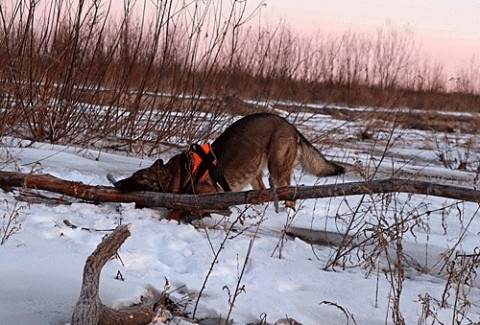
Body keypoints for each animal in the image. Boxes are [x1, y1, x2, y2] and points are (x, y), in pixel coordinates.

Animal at [113, 111, 344, 206]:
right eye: (134, 175)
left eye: (142, 178)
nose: (118, 185)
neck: (178, 172)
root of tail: (290, 125)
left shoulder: (208, 191)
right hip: (254, 169)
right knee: (261, 190)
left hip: (277, 168)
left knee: (288, 192)